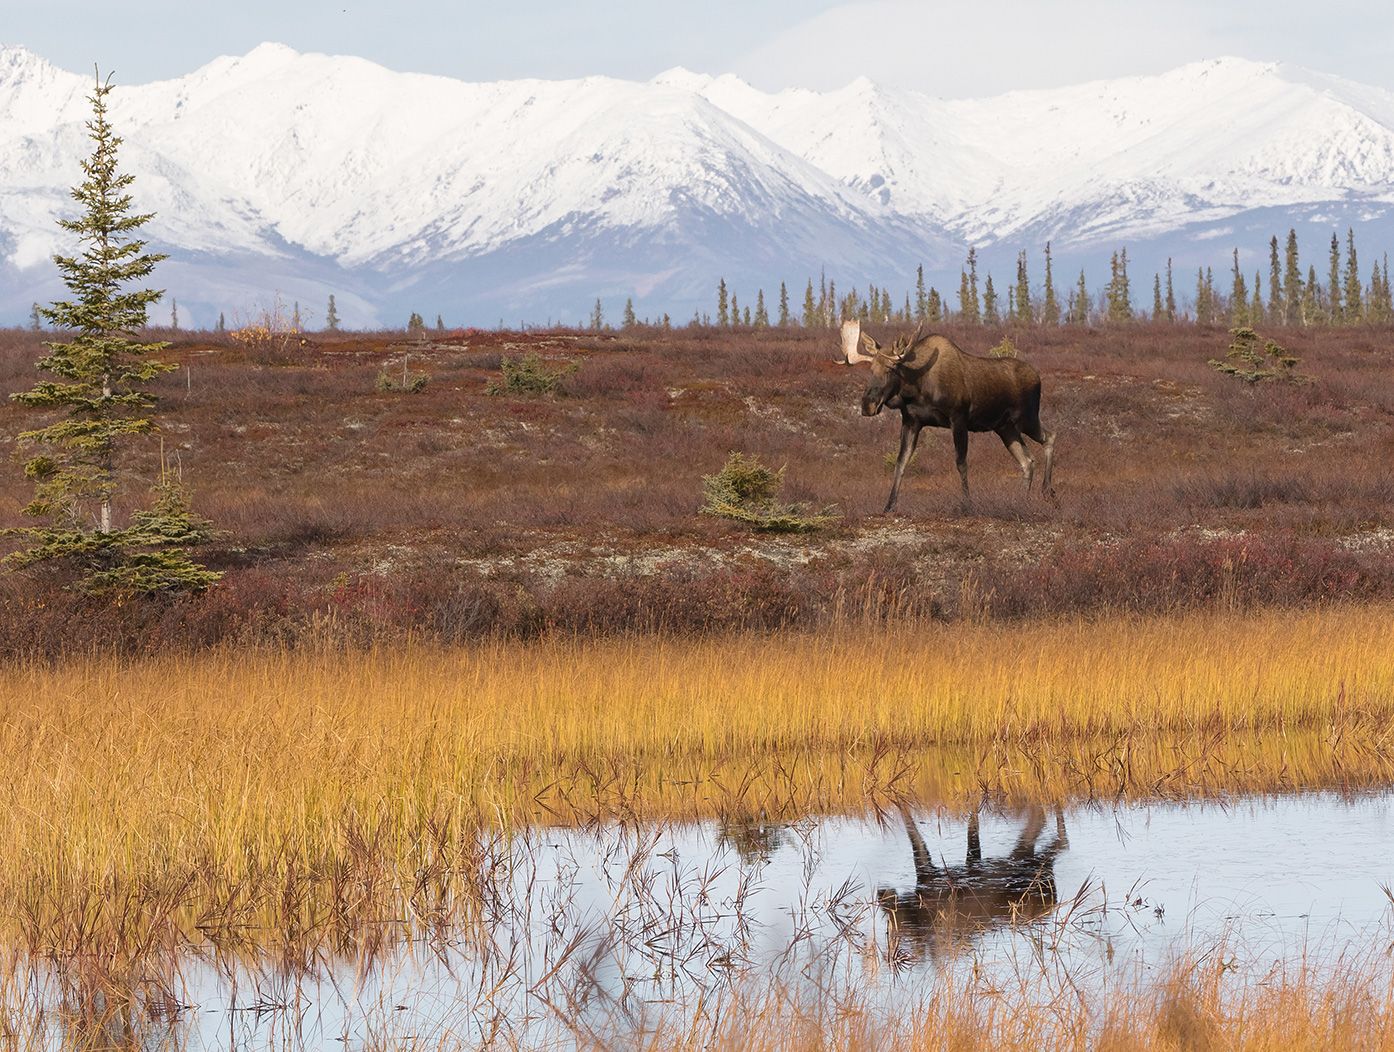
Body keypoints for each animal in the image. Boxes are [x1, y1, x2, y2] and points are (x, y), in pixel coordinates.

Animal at [838, 318, 1056, 513]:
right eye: (871, 369)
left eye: (891, 370)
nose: (867, 405)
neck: (916, 388)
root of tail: (1038, 376)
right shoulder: (911, 421)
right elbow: (901, 462)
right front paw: (889, 506)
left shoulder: (958, 418)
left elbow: (961, 463)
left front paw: (967, 504)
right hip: (1005, 427)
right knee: (1027, 461)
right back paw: (1021, 500)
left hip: (1027, 418)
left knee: (1050, 437)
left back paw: (1047, 490)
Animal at [876, 803, 1069, 964]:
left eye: (892, 918)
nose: (880, 893)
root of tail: (1053, 900)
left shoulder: (933, 875)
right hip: (1029, 860)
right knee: (1047, 827)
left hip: (1029, 864)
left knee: (1054, 835)